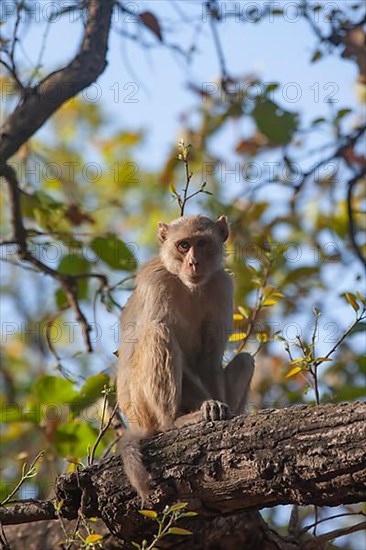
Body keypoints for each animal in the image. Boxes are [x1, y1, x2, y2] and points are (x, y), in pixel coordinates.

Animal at [117, 217, 254, 504]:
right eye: (183, 245)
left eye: (202, 243)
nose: (194, 262)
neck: (189, 286)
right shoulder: (157, 284)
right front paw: (208, 407)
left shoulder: (222, 285)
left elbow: (210, 361)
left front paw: (220, 408)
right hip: (141, 405)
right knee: (158, 332)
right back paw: (174, 422)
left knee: (246, 360)